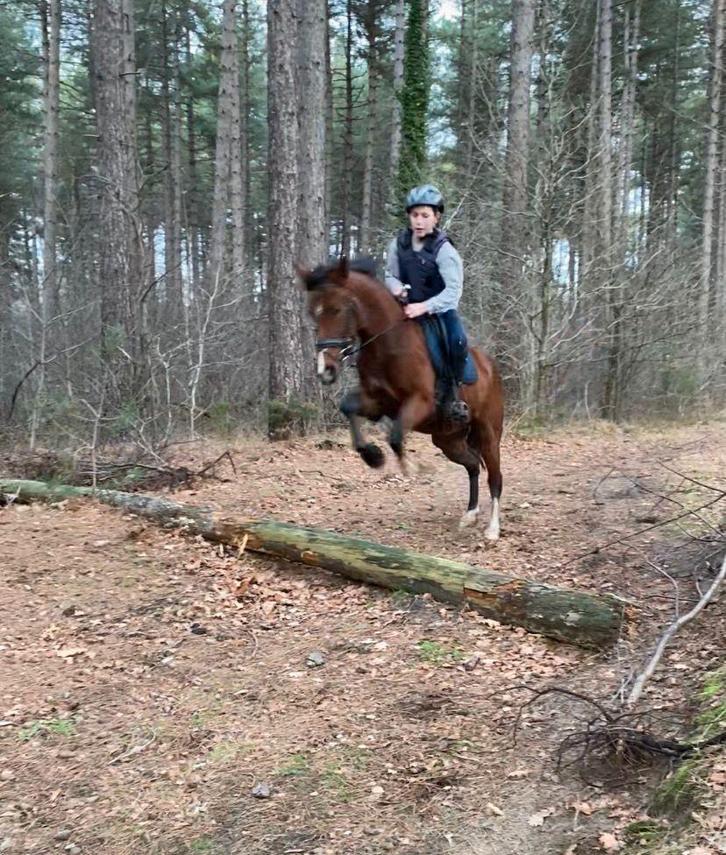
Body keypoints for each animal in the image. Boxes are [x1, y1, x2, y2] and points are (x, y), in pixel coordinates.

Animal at [300, 256, 504, 539]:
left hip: (488, 434)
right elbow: (349, 408)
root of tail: (491, 368)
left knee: (495, 476)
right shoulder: (377, 402)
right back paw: (470, 515)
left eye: (337, 309)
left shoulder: (420, 403)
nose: (325, 370)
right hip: (448, 439)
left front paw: (414, 468)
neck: (387, 343)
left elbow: (395, 436)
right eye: (312, 313)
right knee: (473, 465)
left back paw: (492, 528)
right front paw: (373, 456)